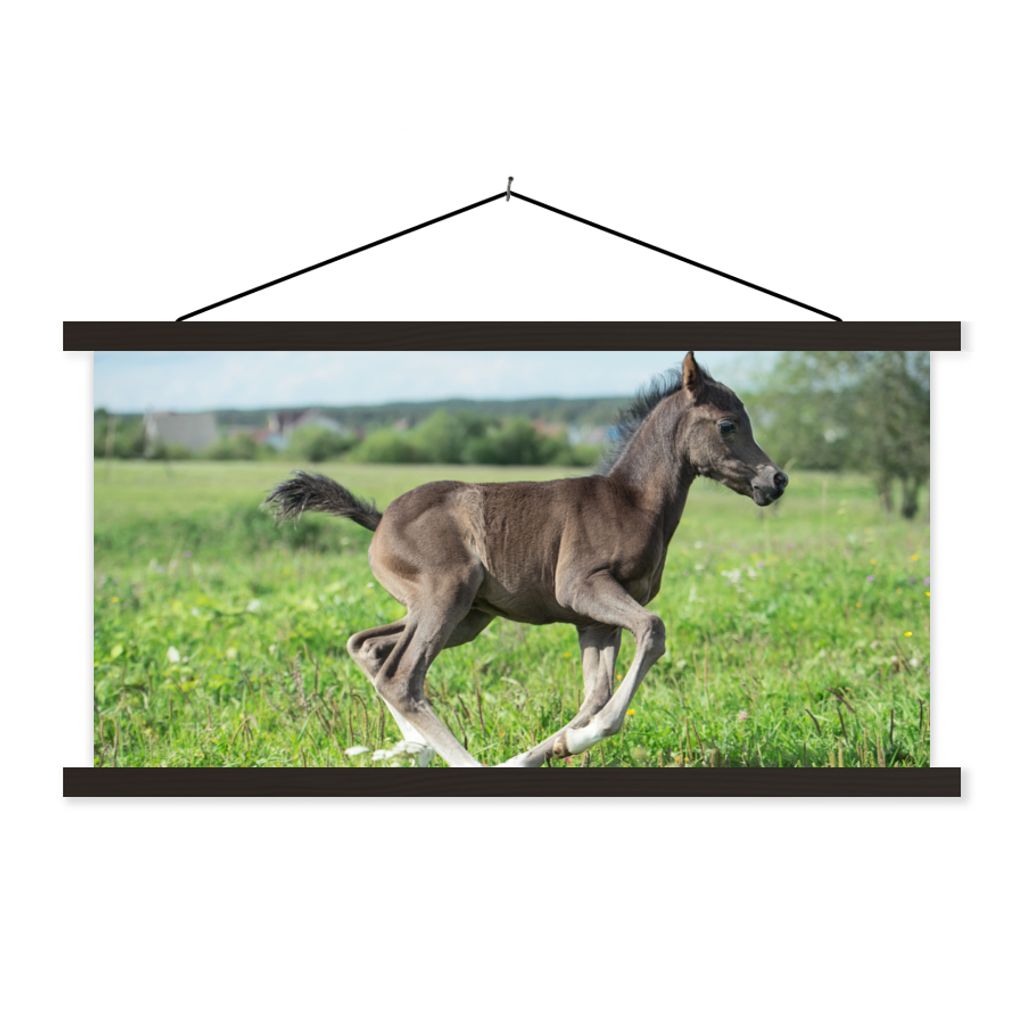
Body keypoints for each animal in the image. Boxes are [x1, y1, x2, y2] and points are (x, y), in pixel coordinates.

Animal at [267, 352, 788, 767]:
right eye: (727, 424)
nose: (775, 480)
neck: (633, 502)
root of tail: (379, 521)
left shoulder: (593, 620)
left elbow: (595, 694)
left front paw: (550, 749)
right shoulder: (583, 588)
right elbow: (652, 633)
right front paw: (564, 745)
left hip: (464, 616)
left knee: (370, 649)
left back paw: (416, 750)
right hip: (447, 595)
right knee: (400, 677)